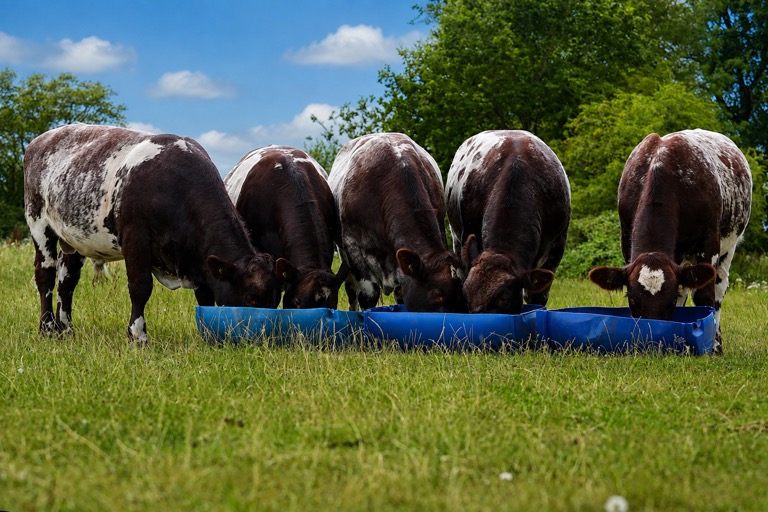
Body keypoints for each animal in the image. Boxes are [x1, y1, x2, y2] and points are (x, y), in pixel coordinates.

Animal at [24, 123, 284, 344]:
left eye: (275, 300)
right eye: (251, 297)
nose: (265, 338)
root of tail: (41, 139)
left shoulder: (198, 258)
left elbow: (205, 296)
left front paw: (207, 336)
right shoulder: (136, 238)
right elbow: (140, 287)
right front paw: (138, 337)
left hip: (75, 239)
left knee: (67, 281)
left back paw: (66, 329)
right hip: (38, 222)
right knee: (45, 274)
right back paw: (47, 328)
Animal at [588, 129, 752, 353]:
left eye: (670, 298)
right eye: (631, 297)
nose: (652, 339)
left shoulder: (709, 241)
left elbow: (703, 296)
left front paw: (710, 348)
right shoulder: (626, 240)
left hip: (729, 245)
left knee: (719, 289)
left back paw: (717, 344)